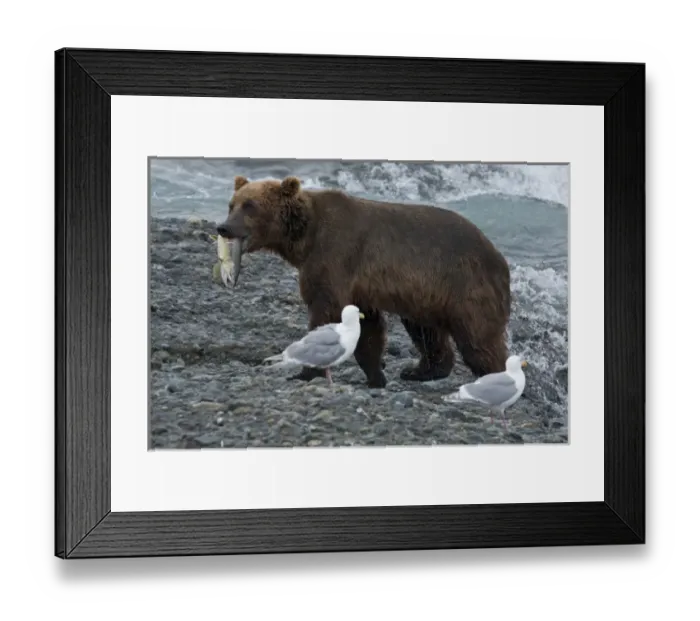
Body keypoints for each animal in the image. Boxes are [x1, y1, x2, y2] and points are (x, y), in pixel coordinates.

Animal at [216, 175, 511, 389]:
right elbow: (368, 328)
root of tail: (500, 257)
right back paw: (419, 370)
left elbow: (326, 310)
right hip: (427, 294)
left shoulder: (335, 255)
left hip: (464, 285)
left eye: (250, 206)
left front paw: (305, 371)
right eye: (231, 204)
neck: (304, 238)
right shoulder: (359, 285)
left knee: (478, 339)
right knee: (426, 330)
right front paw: (375, 376)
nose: (223, 227)